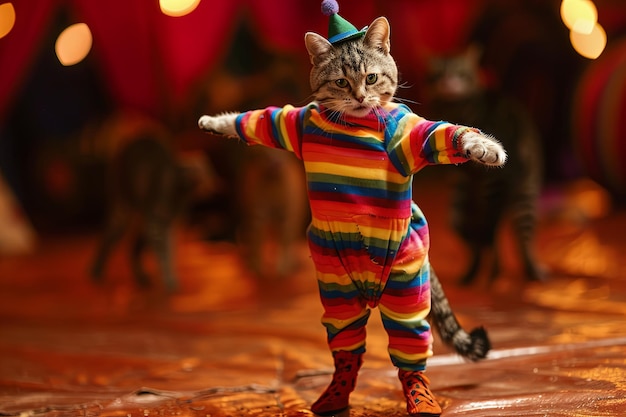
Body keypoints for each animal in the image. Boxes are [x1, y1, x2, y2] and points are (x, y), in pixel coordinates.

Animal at [89, 131, 200, 292]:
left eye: (202, 170)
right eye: (185, 171)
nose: (194, 175)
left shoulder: (169, 226)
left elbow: (169, 251)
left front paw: (171, 279)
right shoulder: (155, 224)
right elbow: (163, 253)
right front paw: (169, 280)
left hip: (141, 224)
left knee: (133, 247)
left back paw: (141, 276)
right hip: (121, 208)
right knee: (109, 238)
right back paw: (96, 271)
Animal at [197, 7, 500, 416]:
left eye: (371, 78)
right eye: (341, 82)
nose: (358, 96)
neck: (354, 124)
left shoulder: (413, 134)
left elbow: (447, 134)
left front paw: (483, 148)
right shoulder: (295, 122)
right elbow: (261, 119)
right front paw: (215, 122)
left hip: (407, 288)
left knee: (409, 343)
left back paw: (419, 395)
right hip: (336, 289)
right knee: (347, 343)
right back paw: (335, 394)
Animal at [422, 46, 544, 286]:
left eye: (460, 73)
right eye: (439, 75)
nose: (448, 83)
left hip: (502, 195)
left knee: (491, 239)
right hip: (508, 198)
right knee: (493, 241)